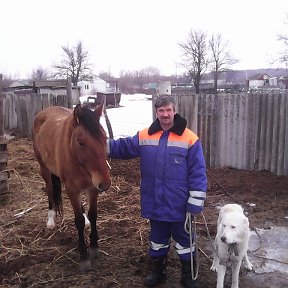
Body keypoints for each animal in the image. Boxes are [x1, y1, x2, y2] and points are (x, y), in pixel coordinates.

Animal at [32, 102, 111, 272]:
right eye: (81, 142)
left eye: (105, 138)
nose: (105, 183)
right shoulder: (72, 190)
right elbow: (78, 221)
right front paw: (84, 257)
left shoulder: (93, 188)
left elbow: (93, 214)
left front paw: (94, 246)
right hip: (44, 169)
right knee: (50, 191)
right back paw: (51, 220)